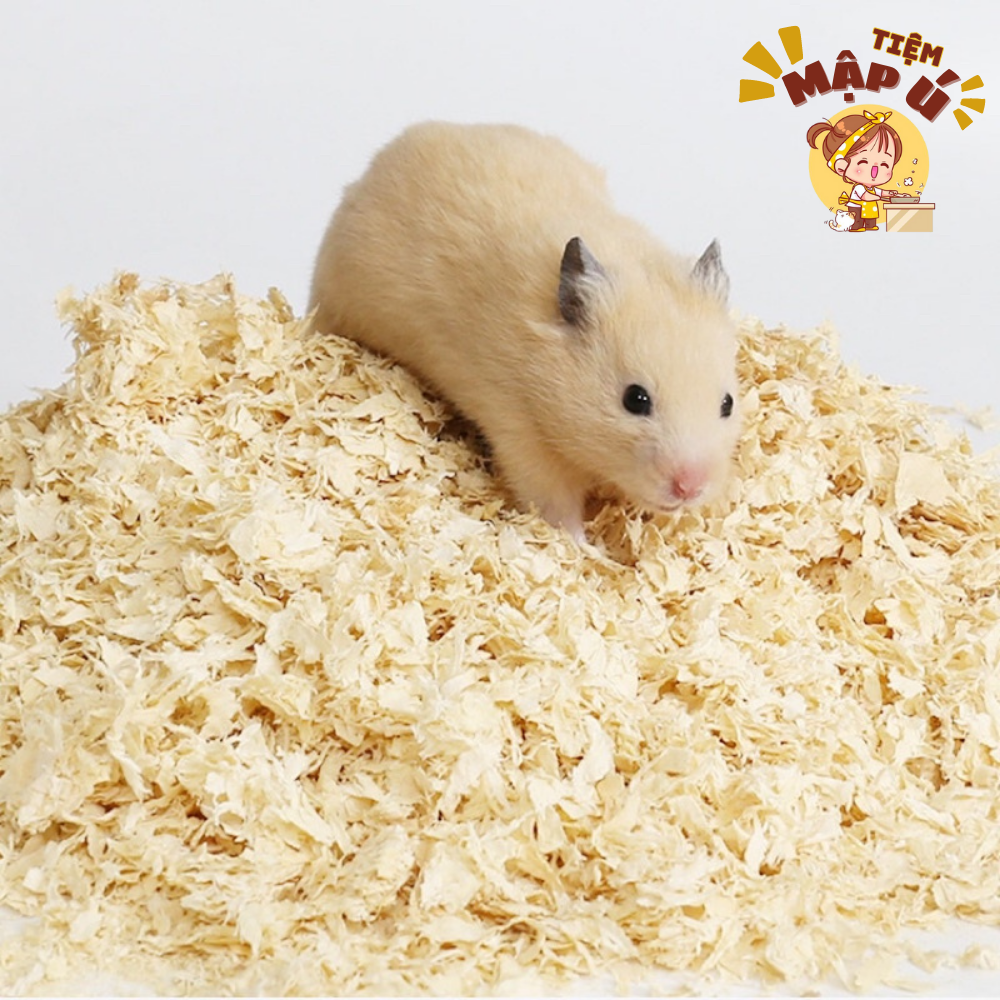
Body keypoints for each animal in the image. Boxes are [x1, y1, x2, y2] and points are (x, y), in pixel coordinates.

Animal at [309, 121, 740, 541]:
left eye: (728, 404)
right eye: (635, 399)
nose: (690, 488)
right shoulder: (519, 428)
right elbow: (555, 505)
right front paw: (588, 549)